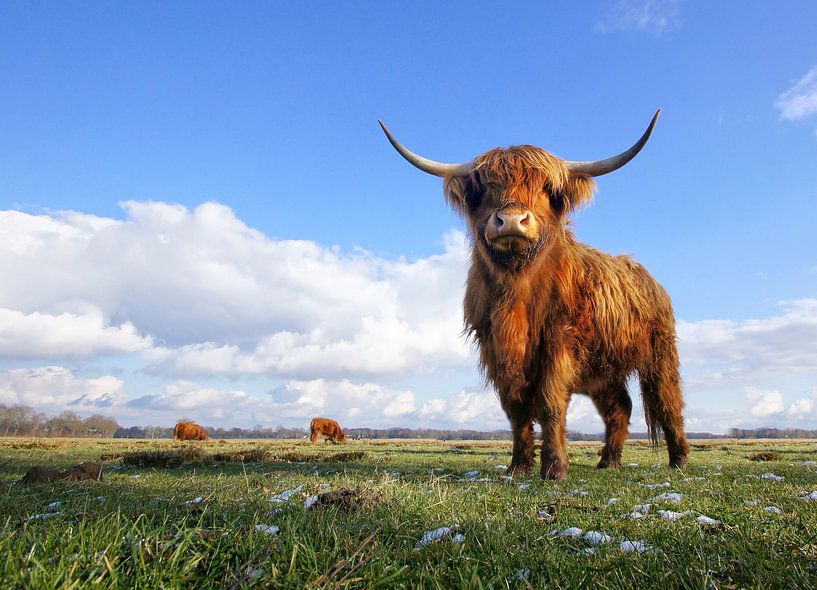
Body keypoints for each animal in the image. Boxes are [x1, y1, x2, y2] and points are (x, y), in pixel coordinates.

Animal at [382, 111, 688, 480]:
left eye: (546, 188)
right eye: (484, 187)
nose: (512, 220)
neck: (517, 295)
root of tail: (649, 277)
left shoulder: (559, 342)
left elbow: (550, 402)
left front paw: (554, 468)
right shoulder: (495, 347)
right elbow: (515, 408)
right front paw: (518, 467)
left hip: (660, 354)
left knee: (668, 401)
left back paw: (679, 460)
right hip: (603, 369)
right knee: (620, 407)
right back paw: (608, 461)